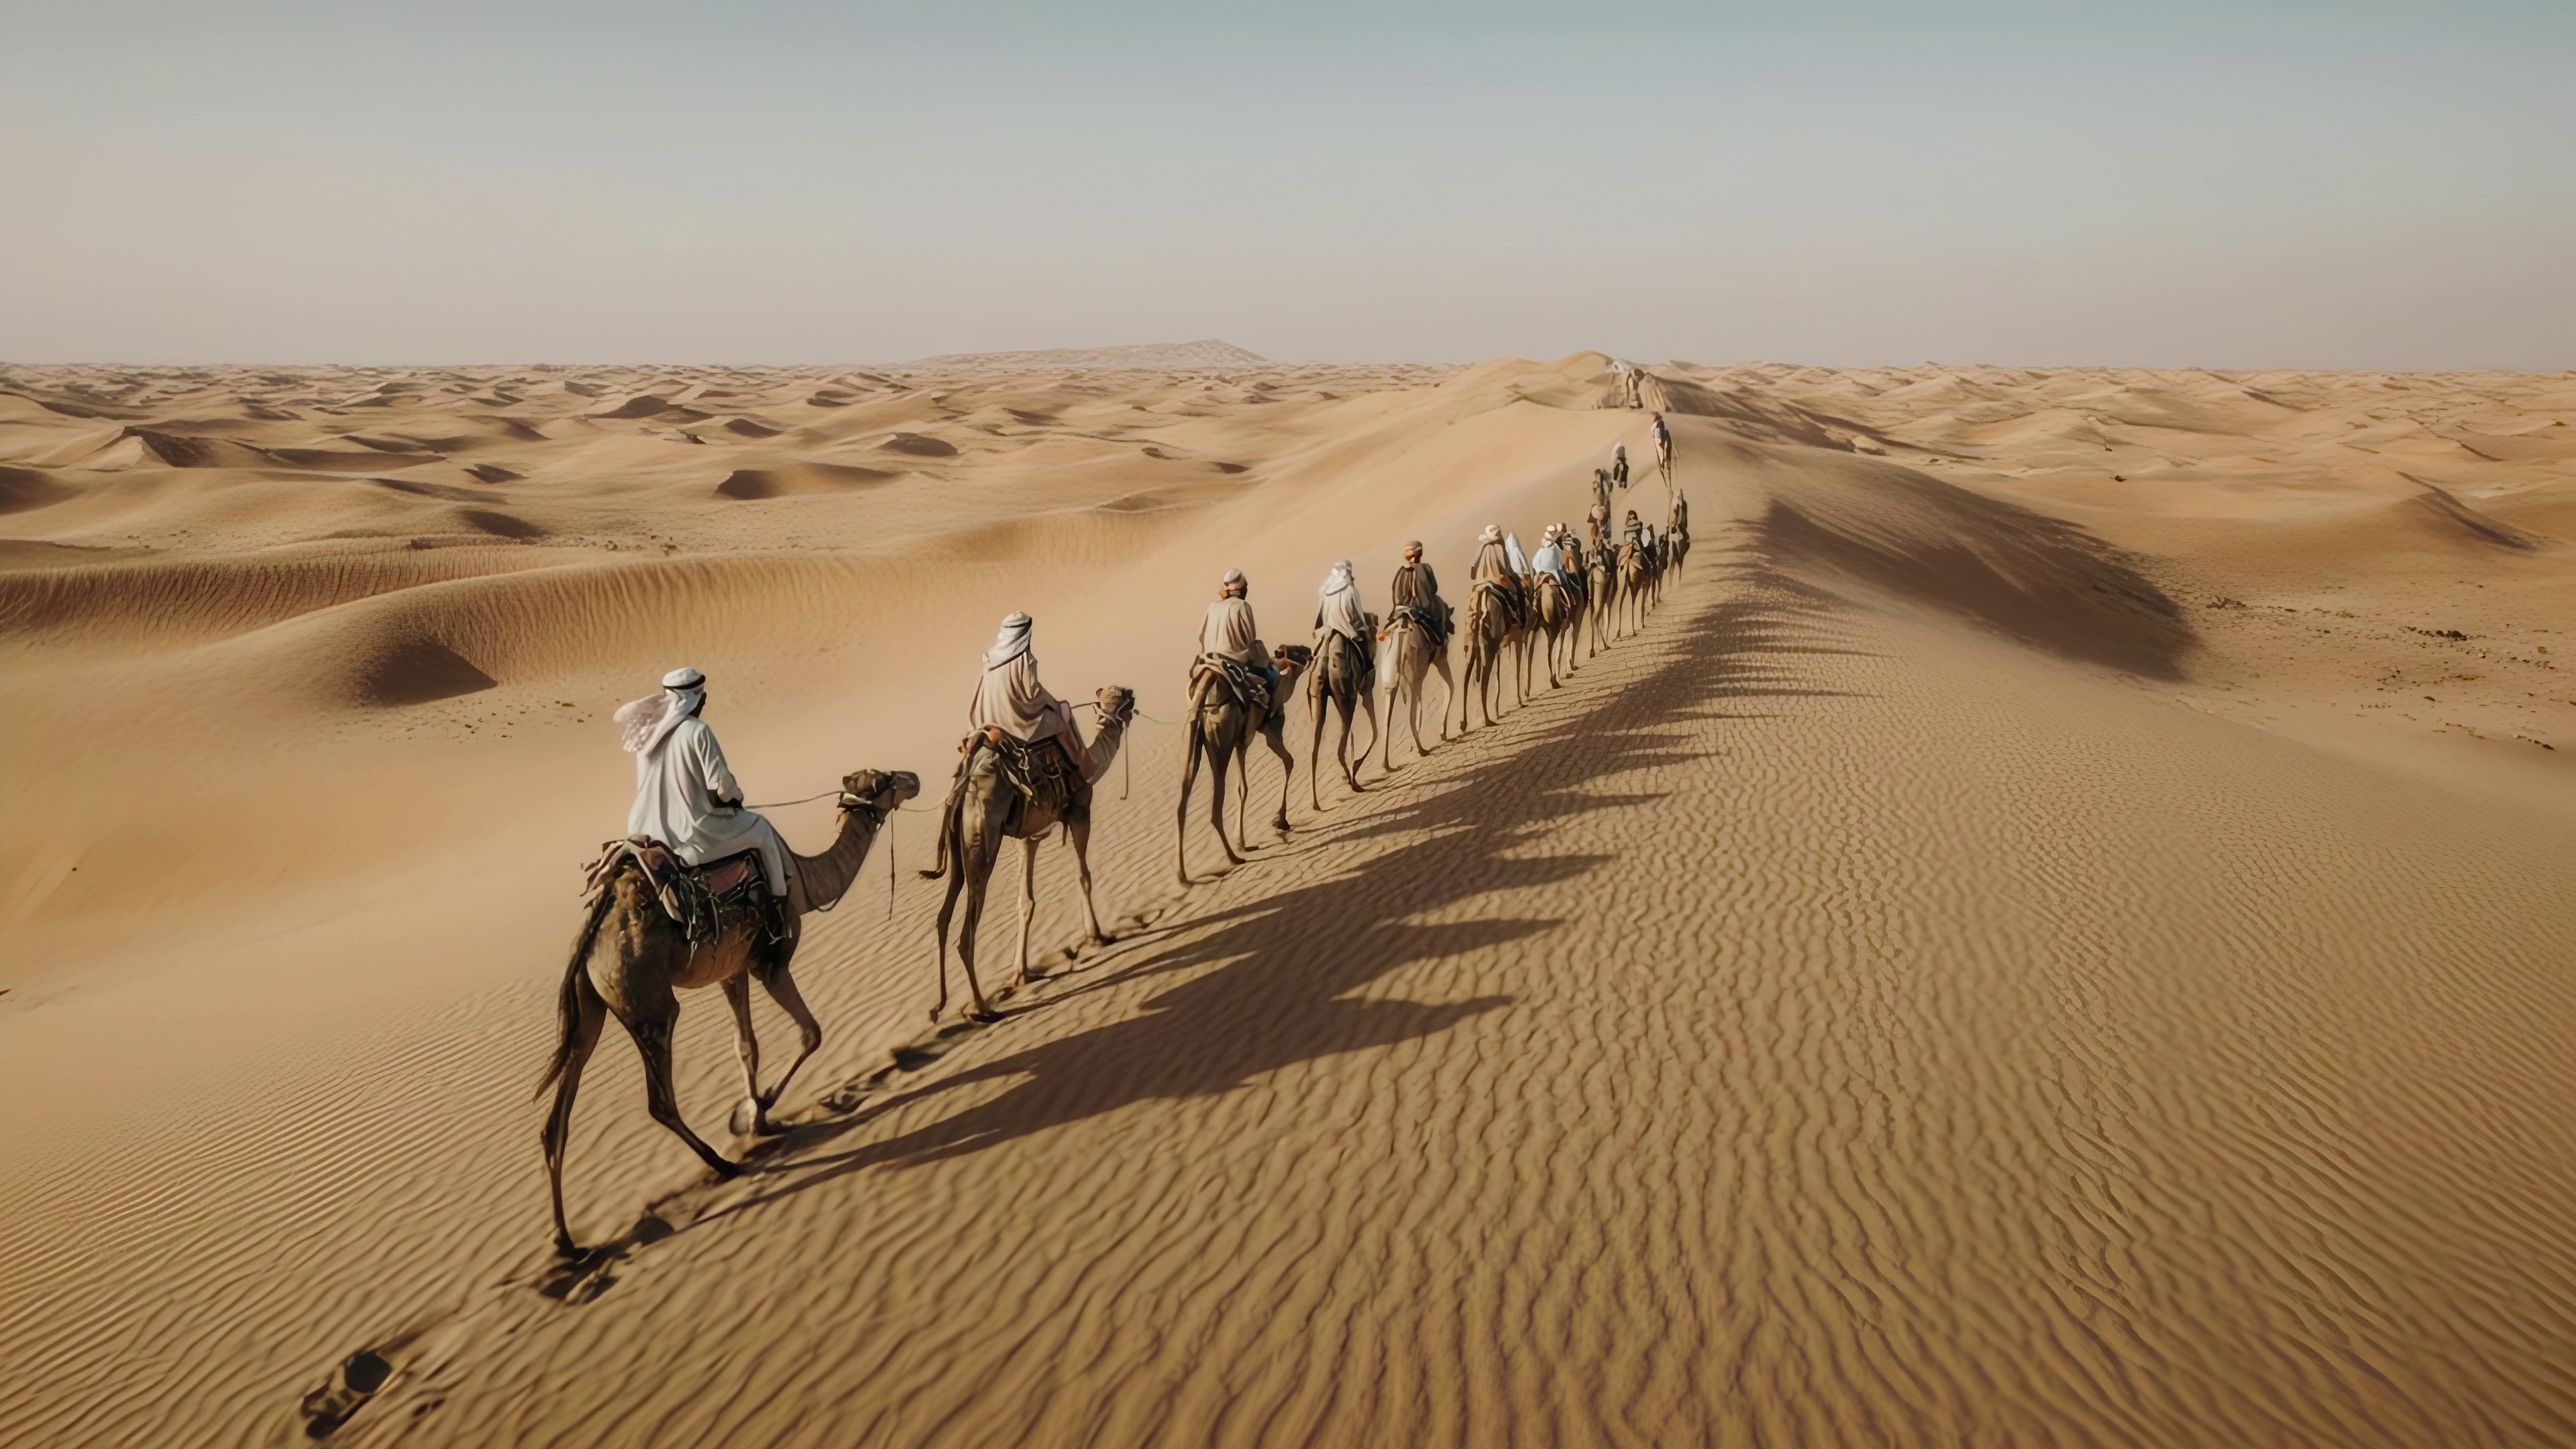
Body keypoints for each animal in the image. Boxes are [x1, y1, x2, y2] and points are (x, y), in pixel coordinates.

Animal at [540, 767, 921, 1256]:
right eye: (886, 779)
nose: (914, 778)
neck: (803, 881)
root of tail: (593, 930)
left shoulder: (733, 971)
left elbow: (746, 1046)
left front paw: (756, 1115)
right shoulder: (770, 964)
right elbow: (811, 1033)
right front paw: (756, 1113)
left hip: (592, 1006)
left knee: (559, 1116)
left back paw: (566, 1242)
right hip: (647, 1000)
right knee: (660, 1098)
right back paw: (723, 1165)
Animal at [924, 686, 1135, 1024]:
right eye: (1123, 697)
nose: (1132, 698)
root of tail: (964, 789)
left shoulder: (1028, 837)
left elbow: (1026, 901)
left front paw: (1020, 974)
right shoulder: (1080, 809)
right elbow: (1084, 876)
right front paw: (1097, 937)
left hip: (958, 847)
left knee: (944, 915)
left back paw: (940, 1007)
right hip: (983, 838)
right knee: (966, 935)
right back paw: (982, 1009)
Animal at [1175, 645, 1309, 882]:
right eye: (1296, 650)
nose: (1309, 651)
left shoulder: (1244, 741)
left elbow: (1244, 786)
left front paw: (1247, 838)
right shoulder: (1265, 730)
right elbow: (1286, 763)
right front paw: (1279, 821)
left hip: (1193, 741)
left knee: (1183, 801)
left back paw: (1183, 874)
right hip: (1221, 744)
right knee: (1215, 809)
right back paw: (1234, 857)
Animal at [1307, 623, 1380, 808]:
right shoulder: (1367, 688)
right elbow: (1376, 732)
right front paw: (1356, 767)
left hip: (1318, 695)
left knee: (1314, 751)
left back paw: (1316, 803)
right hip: (1347, 698)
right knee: (1340, 748)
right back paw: (1353, 782)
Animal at [1378, 609, 1455, 771]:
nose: (1452, 627)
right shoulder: (1440, 659)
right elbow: (1450, 687)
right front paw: (1443, 733)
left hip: (1390, 678)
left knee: (1387, 719)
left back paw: (1386, 764)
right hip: (1411, 676)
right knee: (1410, 713)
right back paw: (1422, 749)